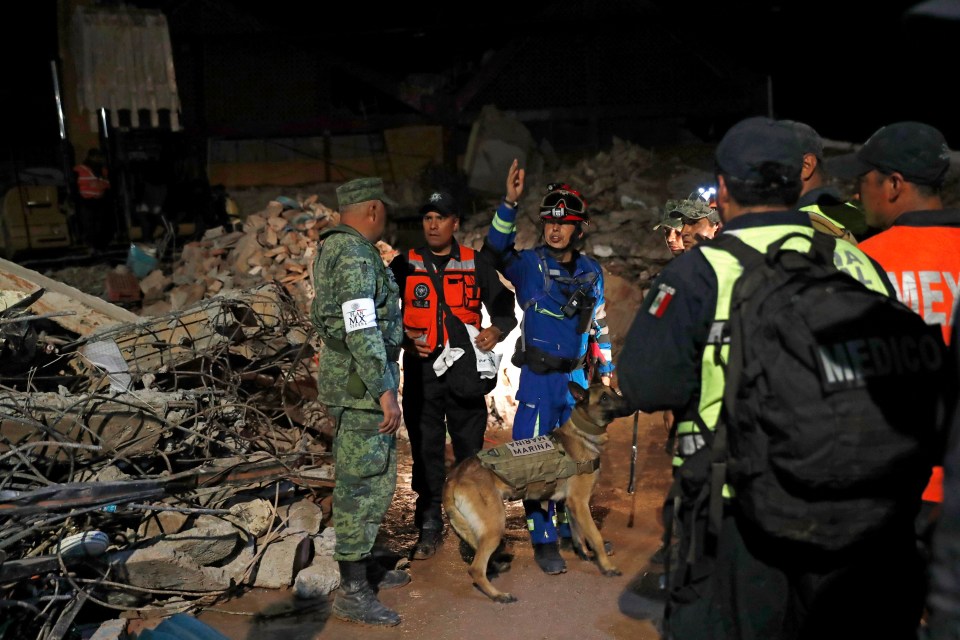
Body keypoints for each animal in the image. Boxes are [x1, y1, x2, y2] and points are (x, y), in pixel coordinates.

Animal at [442, 382, 632, 604]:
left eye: (614, 392)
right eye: (603, 398)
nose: (631, 402)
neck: (582, 433)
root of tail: (454, 476)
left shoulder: (571, 505)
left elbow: (578, 533)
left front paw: (584, 554)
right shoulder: (580, 503)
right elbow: (595, 536)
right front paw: (607, 567)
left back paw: (495, 568)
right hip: (495, 525)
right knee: (475, 569)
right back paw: (498, 595)